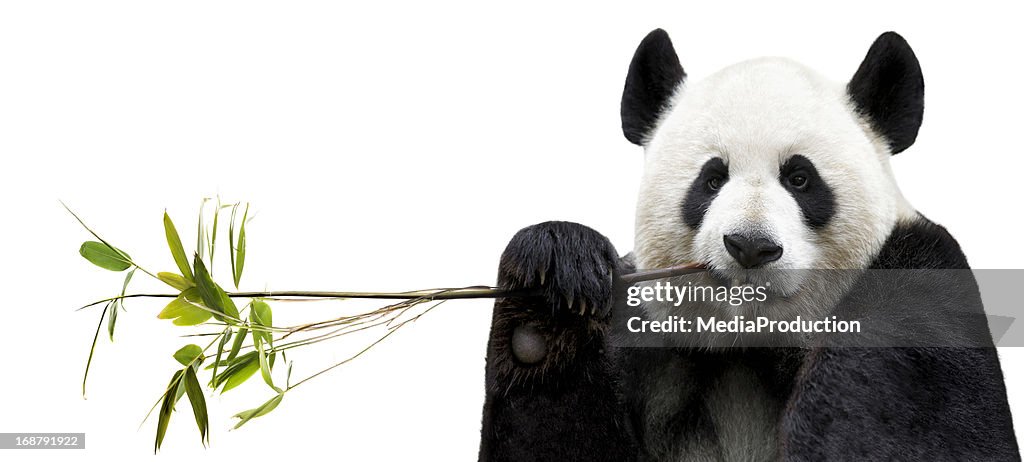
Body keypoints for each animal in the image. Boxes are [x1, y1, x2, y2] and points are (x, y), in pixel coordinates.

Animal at [477, 29, 1015, 462]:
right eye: (712, 179)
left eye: (800, 178)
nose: (750, 247)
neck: (752, 346)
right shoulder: (647, 342)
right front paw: (553, 285)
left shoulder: (923, 296)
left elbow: (899, 417)